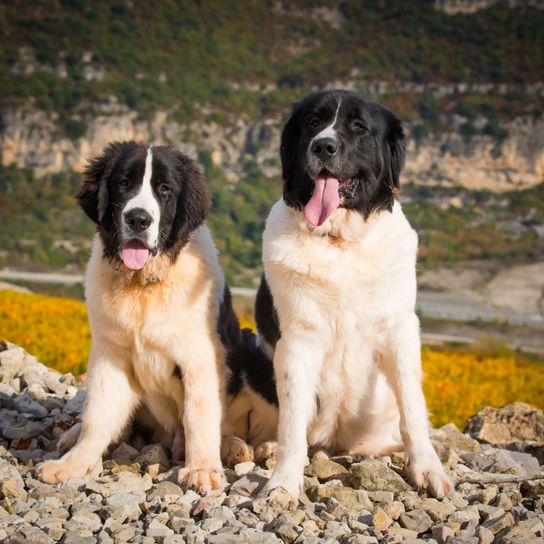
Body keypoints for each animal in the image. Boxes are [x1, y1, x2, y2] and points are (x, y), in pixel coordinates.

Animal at [253, 90, 452, 502]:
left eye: (359, 127)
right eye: (313, 123)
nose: (323, 146)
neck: (340, 241)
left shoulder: (400, 329)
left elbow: (413, 405)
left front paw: (427, 469)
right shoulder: (297, 339)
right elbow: (292, 419)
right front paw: (283, 484)